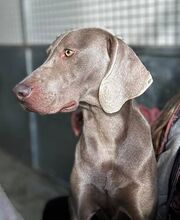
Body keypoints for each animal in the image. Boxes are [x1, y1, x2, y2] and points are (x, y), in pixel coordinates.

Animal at [13, 28, 157, 219]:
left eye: (68, 52)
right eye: (47, 53)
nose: (18, 92)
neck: (106, 138)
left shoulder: (141, 210)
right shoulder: (79, 205)